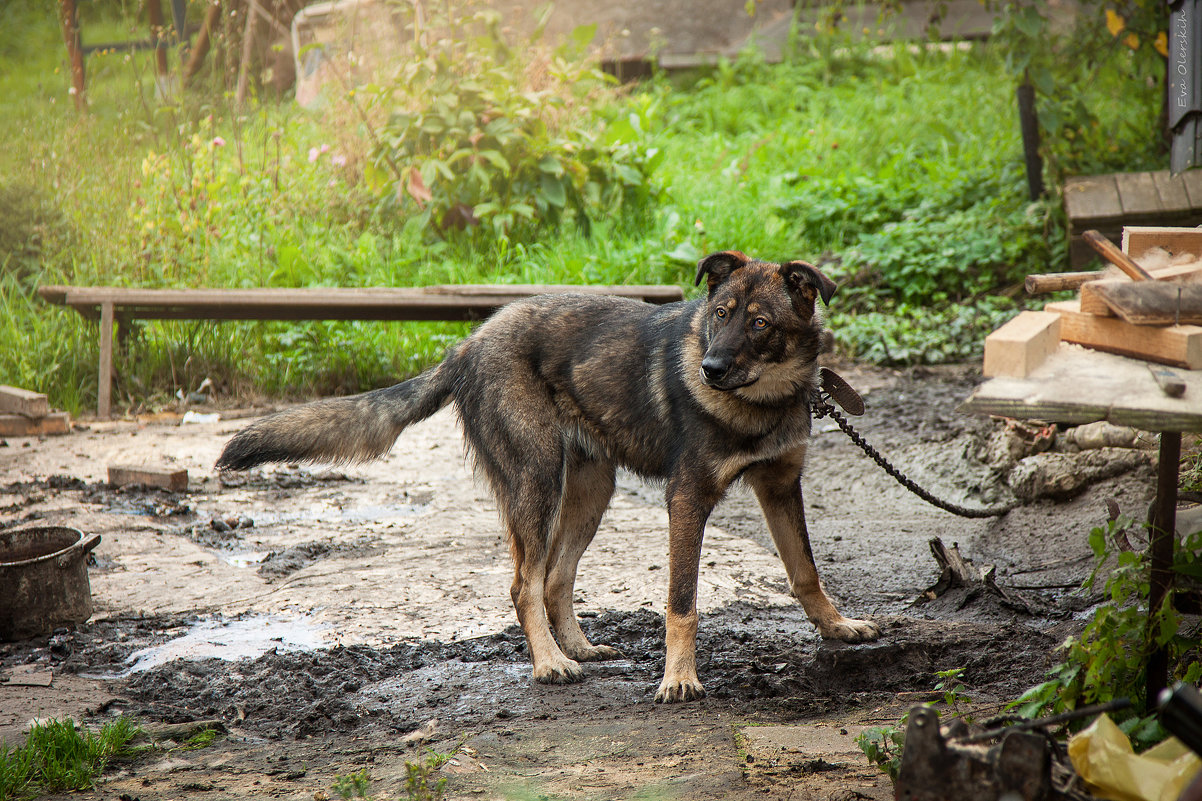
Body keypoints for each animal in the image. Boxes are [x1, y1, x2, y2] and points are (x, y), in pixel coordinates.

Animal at [216, 250, 879, 697]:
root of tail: (467, 345)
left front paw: (837, 627)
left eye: (760, 323)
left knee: (556, 578)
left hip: (591, 489)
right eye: (718, 314)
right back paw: (548, 663)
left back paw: (578, 647)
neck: (761, 399)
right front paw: (679, 678)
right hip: (535, 483)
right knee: (524, 584)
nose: (709, 369)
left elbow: (805, 571)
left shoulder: (780, 486)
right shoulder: (687, 499)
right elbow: (683, 601)